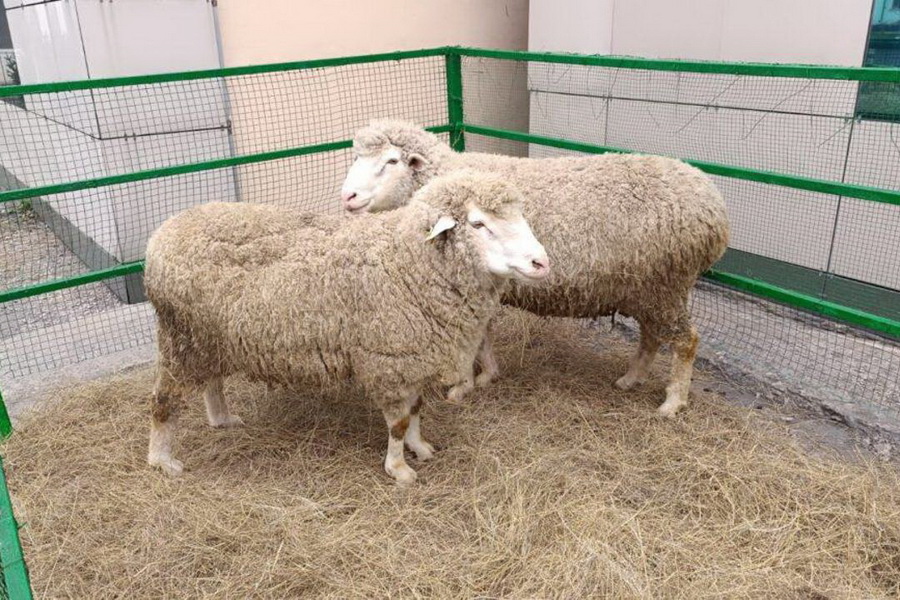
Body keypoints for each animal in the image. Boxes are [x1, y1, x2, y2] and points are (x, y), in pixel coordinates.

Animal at [143, 171, 549, 484]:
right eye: (479, 224)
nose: (541, 263)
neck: (406, 260)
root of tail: (164, 231)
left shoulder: (411, 357)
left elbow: (416, 409)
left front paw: (419, 447)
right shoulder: (389, 360)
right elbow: (399, 422)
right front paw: (399, 468)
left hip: (210, 336)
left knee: (212, 380)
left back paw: (222, 419)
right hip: (180, 336)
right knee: (163, 400)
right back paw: (162, 460)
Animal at [340, 119, 730, 417]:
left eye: (392, 160)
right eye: (357, 157)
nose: (348, 197)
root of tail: (713, 204)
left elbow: (475, 337)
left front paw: (464, 386)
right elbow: (484, 335)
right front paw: (487, 375)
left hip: (665, 285)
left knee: (686, 341)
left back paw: (672, 402)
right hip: (646, 287)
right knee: (652, 335)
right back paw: (631, 379)